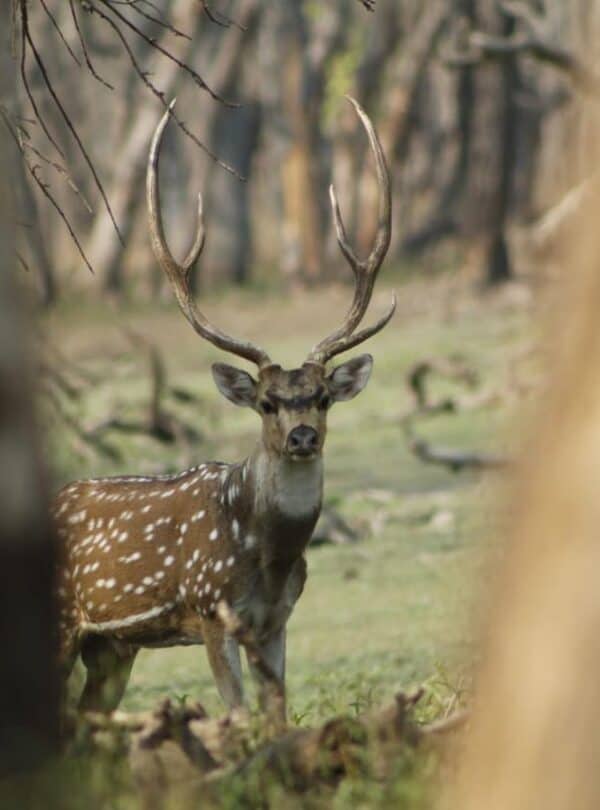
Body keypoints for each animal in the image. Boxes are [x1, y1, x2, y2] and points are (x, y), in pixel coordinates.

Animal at [53, 97, 394, 723]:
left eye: (323, 397)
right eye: (266, 402)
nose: (303, 437)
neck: (267, 556)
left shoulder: (276, 621)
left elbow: (276, 715)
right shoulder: (210, 610)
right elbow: (237, 716)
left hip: (111, 647)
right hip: (65, 624)